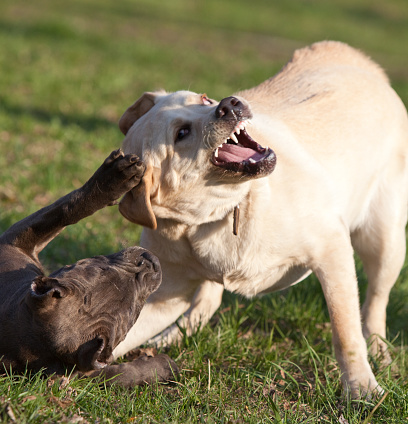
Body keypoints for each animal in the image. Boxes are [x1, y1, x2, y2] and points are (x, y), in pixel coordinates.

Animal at [0, 149, 178, 388]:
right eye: (135, 309)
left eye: (100, 266)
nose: (150, 262)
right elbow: (67, 207)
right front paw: (165, 365)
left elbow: (67, 209)